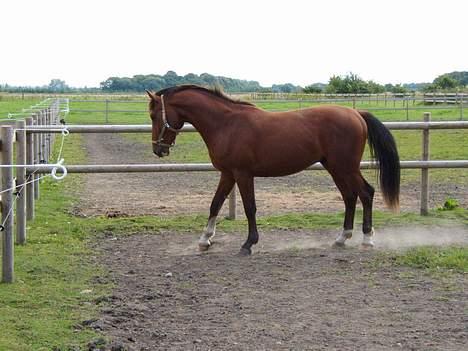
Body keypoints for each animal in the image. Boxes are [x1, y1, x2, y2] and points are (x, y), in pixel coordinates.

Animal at [145, 85, 398, 256]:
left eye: (153, 115)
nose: (158, 150)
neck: (226, 124)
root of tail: (356, 114)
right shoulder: (227, 174)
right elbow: (215, 204)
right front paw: (204, 240)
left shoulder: (242, 174)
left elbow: (250, 208)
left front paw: (248, 244)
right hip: (336, 168)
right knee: (350, 197)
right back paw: (341, 238)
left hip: (346, 167)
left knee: (366, 193)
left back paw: (367, 240)